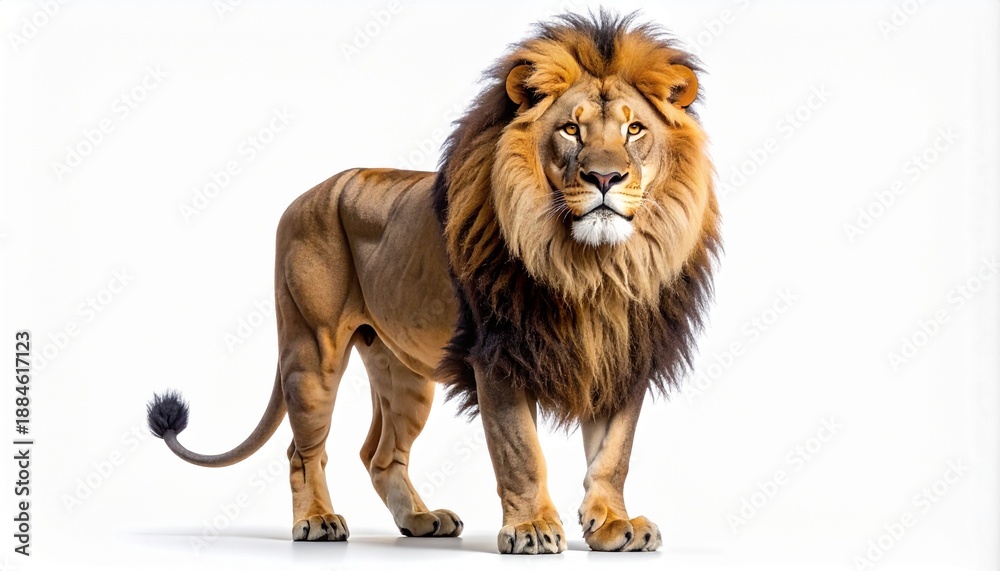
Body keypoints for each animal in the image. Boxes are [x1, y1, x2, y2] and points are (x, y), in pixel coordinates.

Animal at [147, 12, 719, 554]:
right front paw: (532, 528)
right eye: (571, 131)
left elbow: (612, 454)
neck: (593, 266)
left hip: (403, 372)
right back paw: (317, 521)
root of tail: (306, 194)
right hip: (311, 351)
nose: (604, 178)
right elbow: (520, 452)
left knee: (379, 454)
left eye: (634, 130)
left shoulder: (625, 356)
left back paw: (421, 520)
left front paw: (615, 526)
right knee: (302, 450)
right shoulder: (497, 354)